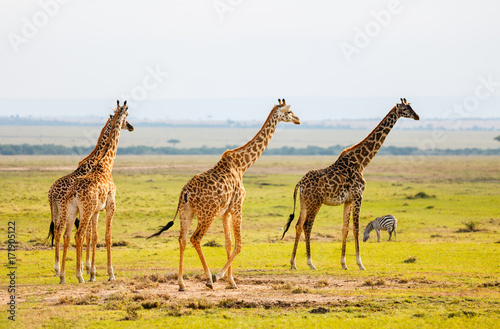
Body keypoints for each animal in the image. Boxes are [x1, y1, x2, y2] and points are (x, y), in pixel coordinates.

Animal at [48, 103, 134, 276]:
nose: (131, 126)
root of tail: (52, 191)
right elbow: (95, 235)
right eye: (126, 118)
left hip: (58, 210)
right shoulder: (106, 206)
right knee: (65, 233)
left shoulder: (94, 210)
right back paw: (64, 270)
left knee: (61, 233)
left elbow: (92, 235)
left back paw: (60, 270)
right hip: (66, 210)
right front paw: (89, 267)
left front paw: (88, 267)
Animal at [146, 97, 298, 290]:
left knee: (182, 239)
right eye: (289, 112)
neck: (242, 165)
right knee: (196, 238)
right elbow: (239, 244)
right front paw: (220, 276)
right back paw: (209, 279)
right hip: (207, 214)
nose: (298, 120)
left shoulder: (226, 212)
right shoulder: (237, 206)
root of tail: (185, 193)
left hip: (186, 212)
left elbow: (228, 243)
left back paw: (181, 283)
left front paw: (231, 281)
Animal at [282, 98, 418, 270]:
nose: (417, 116)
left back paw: (293, 263)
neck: (362, 162)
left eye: (412, 107)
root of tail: (300, 182)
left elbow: (345, 229)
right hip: (315, 202)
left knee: (298, 225)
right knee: (307, 226)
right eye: (406, 109)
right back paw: (310, 263)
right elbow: (356, 229)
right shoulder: (358, 195)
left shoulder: (348, 200)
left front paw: (344, 264)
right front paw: (360, 264)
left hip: (304, 202)